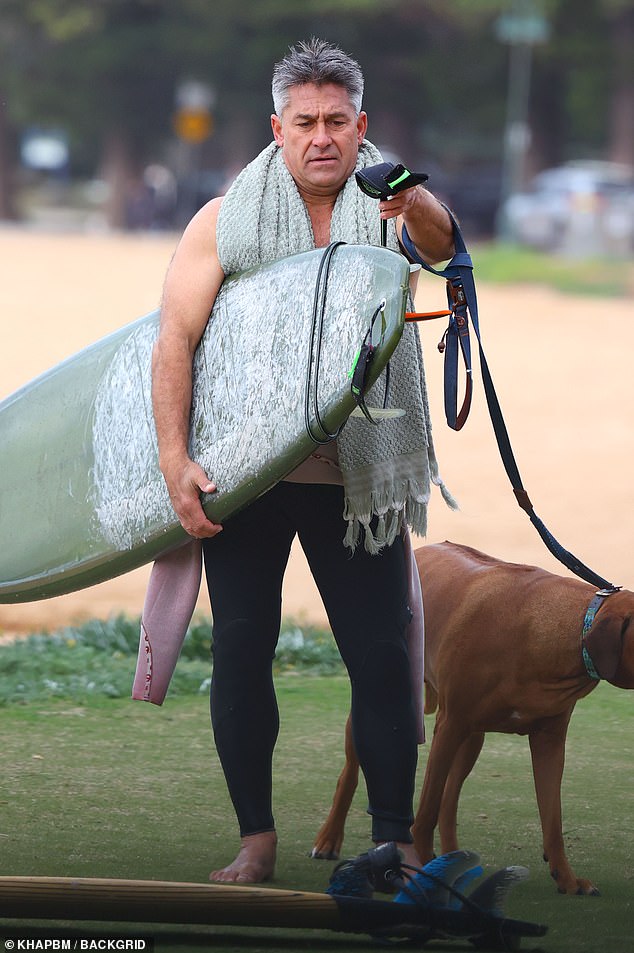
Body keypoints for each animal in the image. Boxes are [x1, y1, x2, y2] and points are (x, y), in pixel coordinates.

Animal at [312, 544, 632, 892]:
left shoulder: (549, 740)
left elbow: (553, 819)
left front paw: (567, 878)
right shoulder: (449, 725)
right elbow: (425, 811)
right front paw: (420, 863)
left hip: (472, 737)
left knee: (450, 799)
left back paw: (453, 858)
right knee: (351, 772)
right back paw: (329, 838)